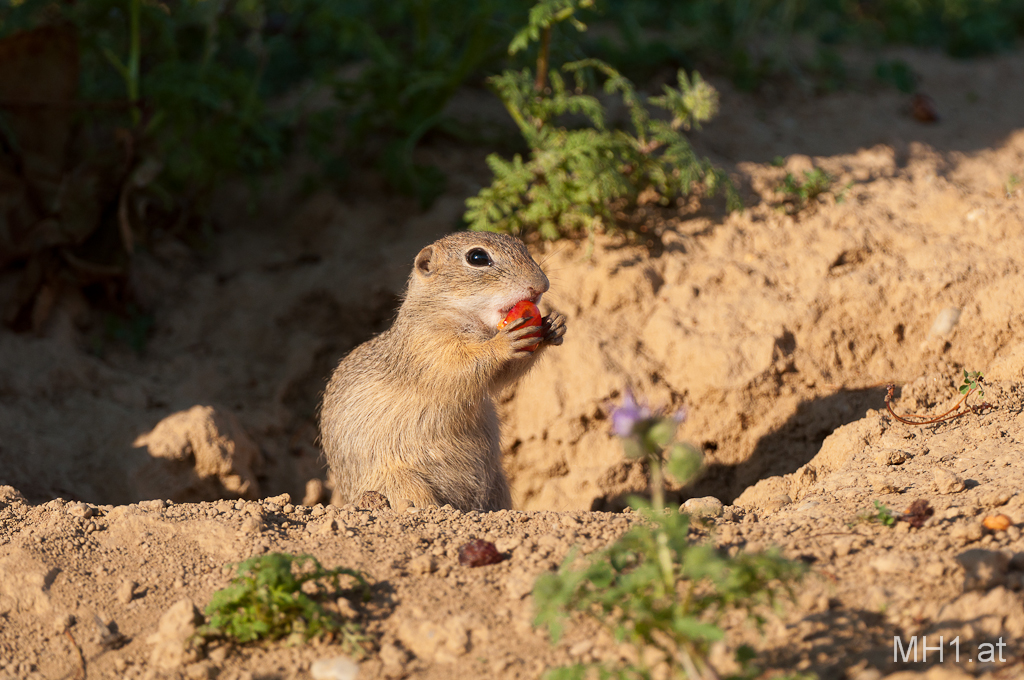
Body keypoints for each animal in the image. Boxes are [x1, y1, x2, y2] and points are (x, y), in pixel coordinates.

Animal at [317, 232, 565, 510]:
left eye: (523, 247)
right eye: (477, 257)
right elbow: (461, 367)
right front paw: (504, 343)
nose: (542, 285)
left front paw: (553, 326)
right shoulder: (429, 348)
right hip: (405, 485)